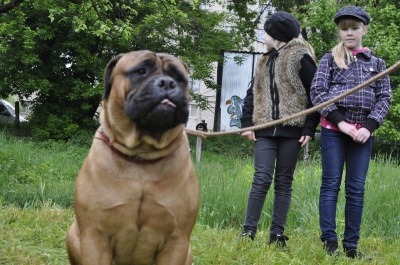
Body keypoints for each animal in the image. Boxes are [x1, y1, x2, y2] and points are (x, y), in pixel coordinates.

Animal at [66, 50, 199, 262]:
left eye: (179, 78)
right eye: (140, 71)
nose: (167, 83)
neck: (141, 157)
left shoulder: (177, 240)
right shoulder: (95, 236)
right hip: (72, 233)